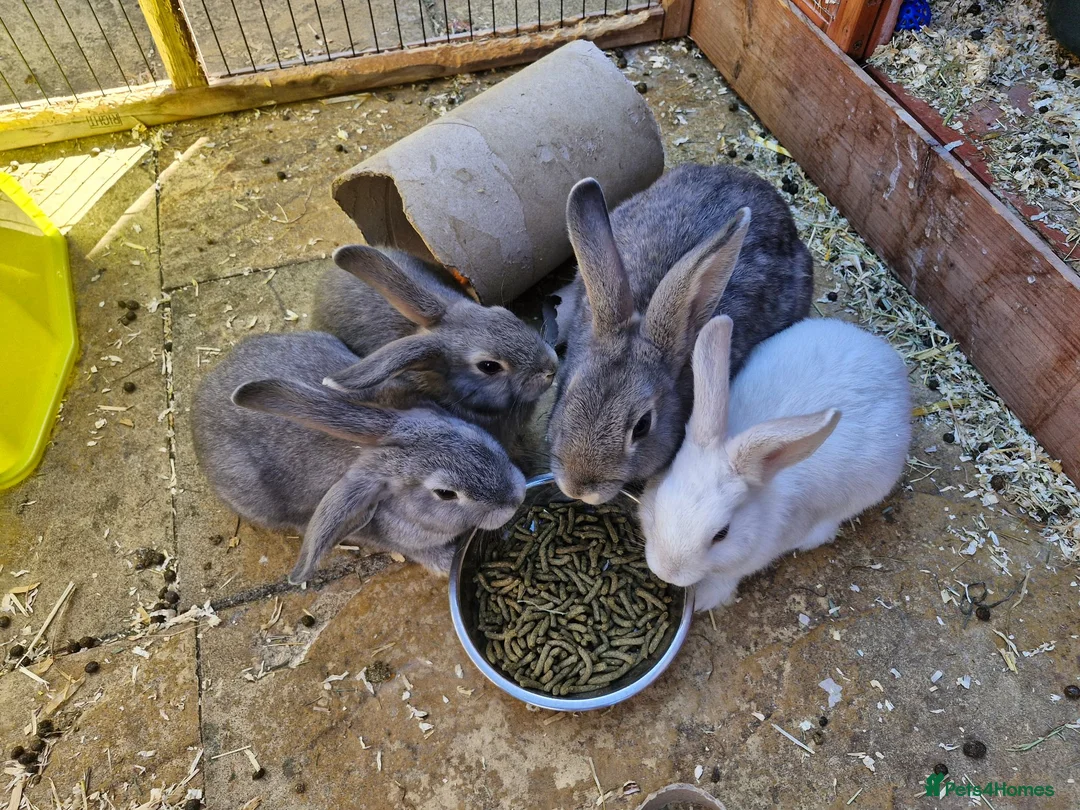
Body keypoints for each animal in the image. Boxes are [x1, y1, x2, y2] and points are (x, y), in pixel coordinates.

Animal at [639, 315, 912, 612]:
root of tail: (887, 357)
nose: (668, 572)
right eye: (660, 498)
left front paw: (703, 599)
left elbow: (725, 579)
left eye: (722, 534)